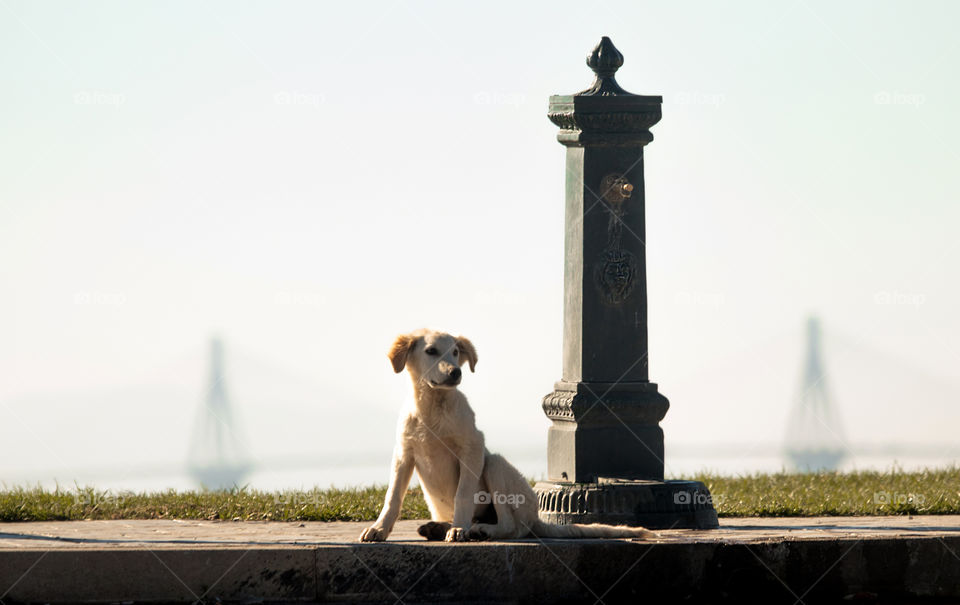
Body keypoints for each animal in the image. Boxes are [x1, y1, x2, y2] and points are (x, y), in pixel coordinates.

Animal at [356, 330, 656, 544]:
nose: (456, 372)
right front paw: (378, 529)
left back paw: (478, 530)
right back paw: (438, 527)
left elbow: (463, 493)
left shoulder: (473, 449)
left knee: (512, 527)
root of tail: (537, 519)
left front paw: (460, 530)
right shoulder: (403, 454)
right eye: (431, 351)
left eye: (455, 352)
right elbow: (393, 497)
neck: (432, 407)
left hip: (495, 465)